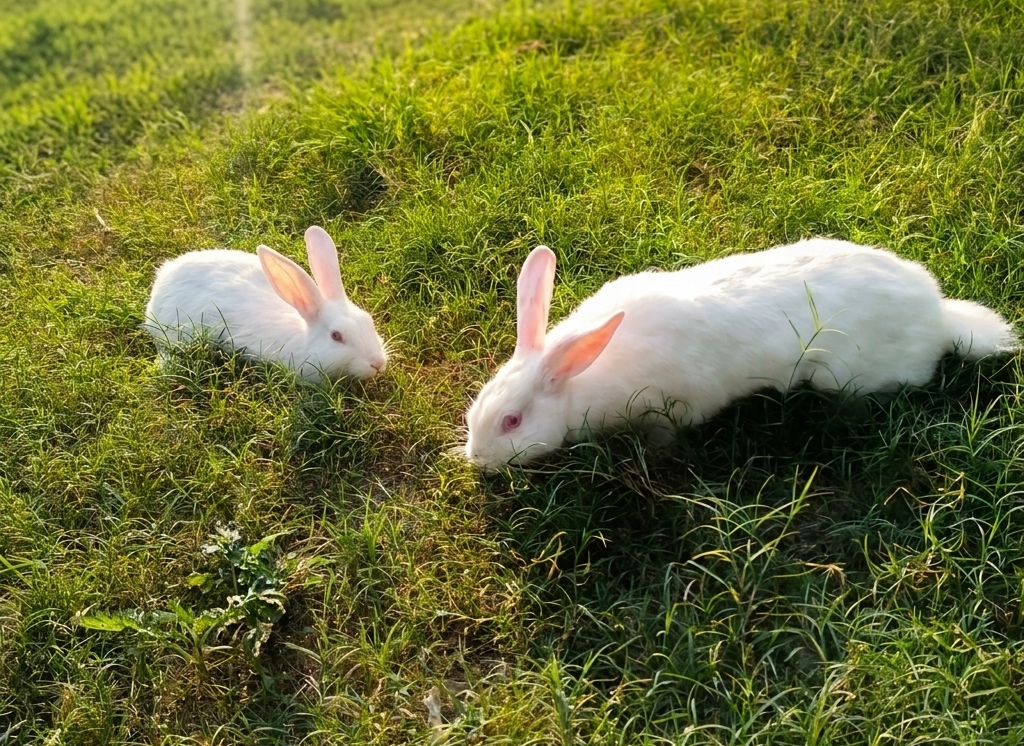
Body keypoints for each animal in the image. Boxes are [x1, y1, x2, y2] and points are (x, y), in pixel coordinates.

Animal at [464, 238, 1017, 470]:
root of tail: (940, 316)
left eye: (512, 422)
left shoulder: (674, 407)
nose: (475, 460)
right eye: (474, 413)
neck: (582, 378)